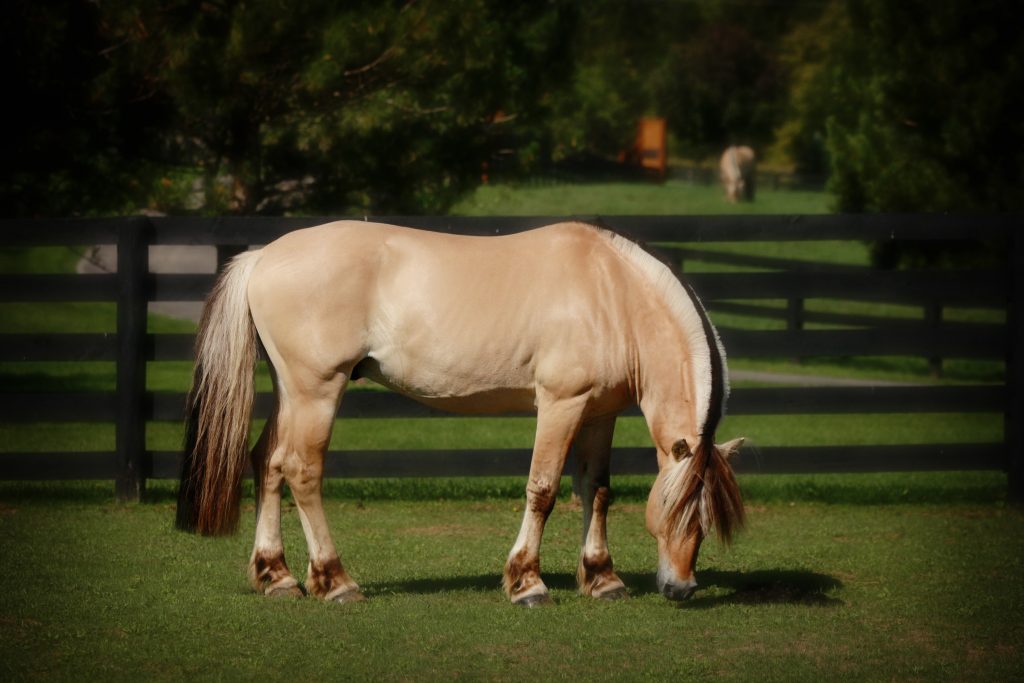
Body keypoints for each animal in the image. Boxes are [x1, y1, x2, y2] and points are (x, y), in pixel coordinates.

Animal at [175, 220, 745, 605]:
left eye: (707, 518)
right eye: (677, 511)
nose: (681, 588)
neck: (612, 293)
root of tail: (263, 256)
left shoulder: (599, 414)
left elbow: (596, 490)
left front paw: (602, 578)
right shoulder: (561, 404)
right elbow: (543, 490)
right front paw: (527, 583)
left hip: (291, 392)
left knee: (267, 463)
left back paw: (278, 577)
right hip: (317, 391)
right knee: (301, 470)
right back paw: (335, 581)